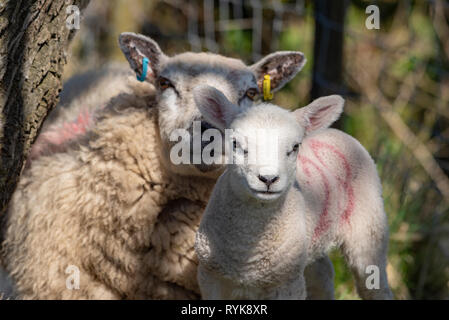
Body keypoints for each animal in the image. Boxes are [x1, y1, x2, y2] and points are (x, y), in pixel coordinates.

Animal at [194, 85, 390, 300]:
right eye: (235, 143)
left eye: (295, 147)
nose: (268, 179)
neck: (247, 255)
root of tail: (335, 131)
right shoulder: (210, 277)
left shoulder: (287, 283)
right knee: (323, 273)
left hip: (368, 225)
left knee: (373, 283)